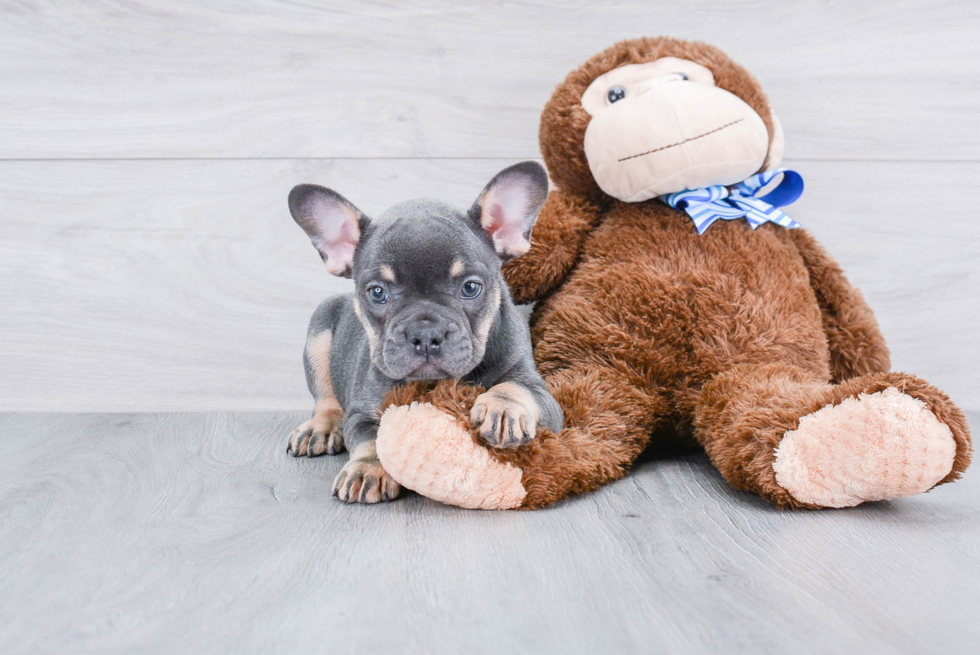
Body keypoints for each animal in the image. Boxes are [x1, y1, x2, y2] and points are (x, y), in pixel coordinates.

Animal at [286, 161, 560, 504]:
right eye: (377, 293)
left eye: (471, 287)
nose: (425, 333)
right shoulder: (362, 411)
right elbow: (374, 439)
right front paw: (368, 468)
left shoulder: (542, 394)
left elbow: (516, 387)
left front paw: (503, 408)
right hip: (319, 332)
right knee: (326, 399)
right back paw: (319, 428)